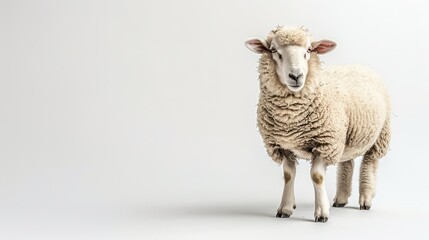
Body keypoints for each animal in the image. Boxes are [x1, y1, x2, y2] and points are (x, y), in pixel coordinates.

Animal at [244, 25, 388, 222]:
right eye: (273, 51)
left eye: (309, 50)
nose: (296, 76)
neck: (290, 118)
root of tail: (359, 65)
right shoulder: (283, 145)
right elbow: (288, 176)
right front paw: (285, 208)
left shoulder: (325, 142)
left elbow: (317, 176)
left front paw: (321, 212)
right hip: (345, 137)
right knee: (347, 164)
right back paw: (341, 199)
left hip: (379, 135)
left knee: (369, 164)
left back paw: (365, 199)